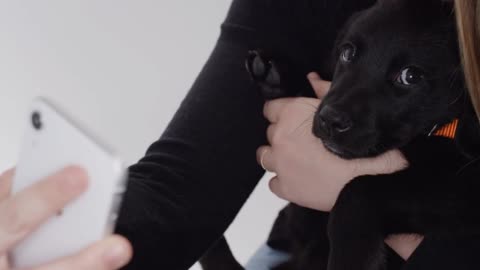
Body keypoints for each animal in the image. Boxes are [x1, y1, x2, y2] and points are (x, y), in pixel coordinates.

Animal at [201, 0, 480, 270]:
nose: (330, 120)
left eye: (410, 76)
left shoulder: (459, 186)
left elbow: (359, 188)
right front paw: (277, 78)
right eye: (348, 53)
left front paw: (352, 257)